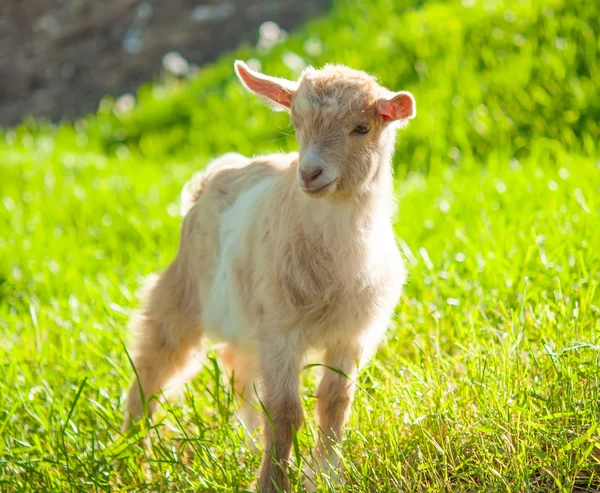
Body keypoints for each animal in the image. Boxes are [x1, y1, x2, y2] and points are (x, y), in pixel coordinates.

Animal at [123, 60, 414, 492]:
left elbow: (335, 402)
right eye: (296, 122)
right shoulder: (281, 330)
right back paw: (129, 460)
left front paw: (326, 474)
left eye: (362, 127)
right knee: (151, 367)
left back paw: (244, 447)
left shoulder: (351, 334)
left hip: (245, 319)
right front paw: (273, 482)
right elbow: (285, 411)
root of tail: (215, 172)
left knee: (241, 375)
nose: (310, 173)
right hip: (181, 296)